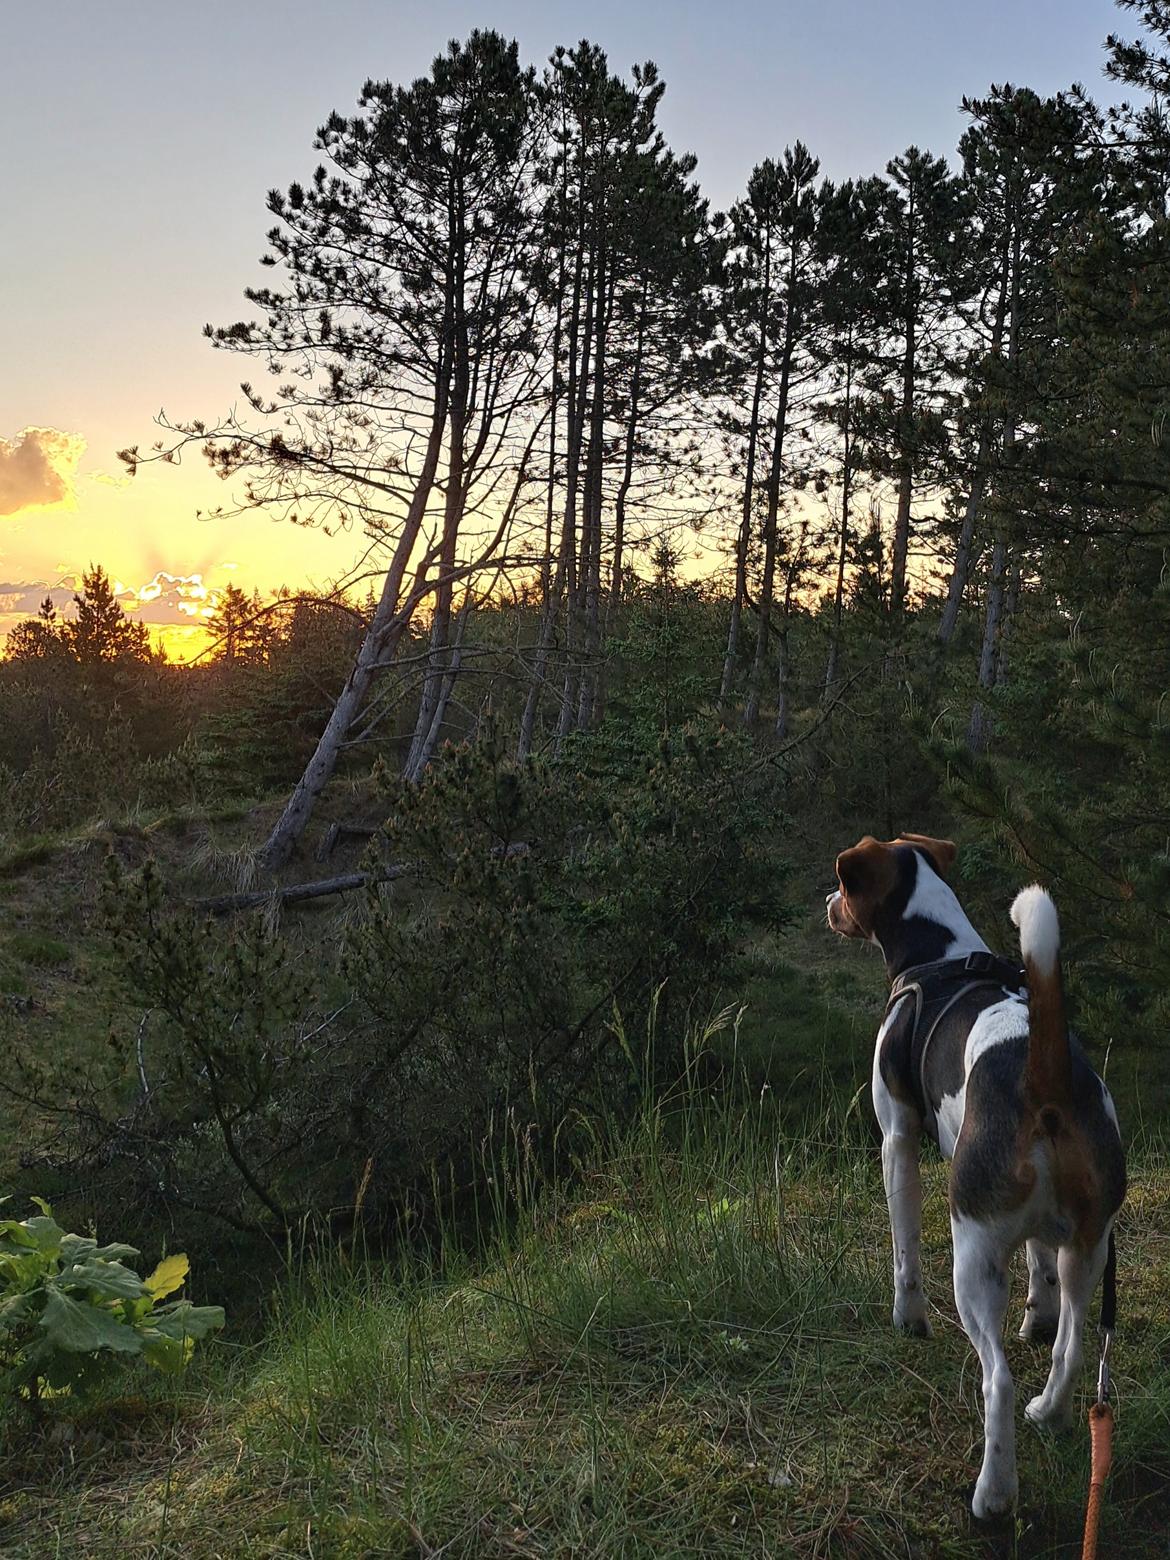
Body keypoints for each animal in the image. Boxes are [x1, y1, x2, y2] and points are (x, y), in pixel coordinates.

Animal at [823, 836, 1129, 1516]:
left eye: (844, 887)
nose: (828, 902)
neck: (941, 955)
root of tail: (1045, 1075)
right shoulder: (1048, 1235)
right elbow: (1041, 1275)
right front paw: (1036, 1318)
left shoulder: (897, 1139)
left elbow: (905, 1251)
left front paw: (908, 1319)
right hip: (1090, 1248)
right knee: (1072, 1346)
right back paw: (1052, 1412)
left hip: (974, 1255)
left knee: (999, 1381)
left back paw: (993, 1494)